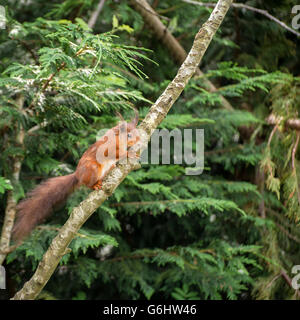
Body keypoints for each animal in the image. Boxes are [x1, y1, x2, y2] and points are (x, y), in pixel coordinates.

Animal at [12, 109, 140, 240]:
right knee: (87, 184)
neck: (118, 137)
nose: (139, 139)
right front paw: (129, 153)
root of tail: (78, 175)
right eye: (129, 135)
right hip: (92, 169)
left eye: (138, 132)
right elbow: (115, 153)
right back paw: (95, 185)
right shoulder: (108, 147)